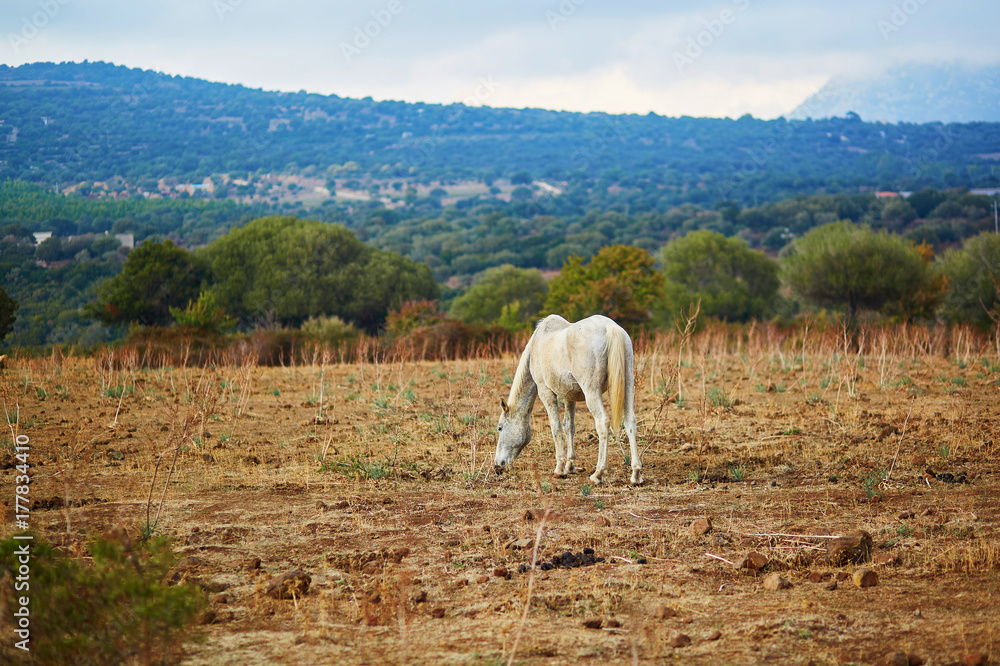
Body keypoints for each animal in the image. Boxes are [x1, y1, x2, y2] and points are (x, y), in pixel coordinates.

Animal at [494, 314, 643, 485]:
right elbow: (569, 426)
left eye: (500, 428)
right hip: (627, 386)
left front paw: (560, 468)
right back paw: (636, 474)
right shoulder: (569, 395)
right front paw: (570, 465)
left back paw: (598, 474)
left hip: (592, 392)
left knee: (603, 423)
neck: (536, 346)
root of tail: (610, 328)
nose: (498, 465)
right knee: (630, 421)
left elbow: (556, 427)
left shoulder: (546, 392)